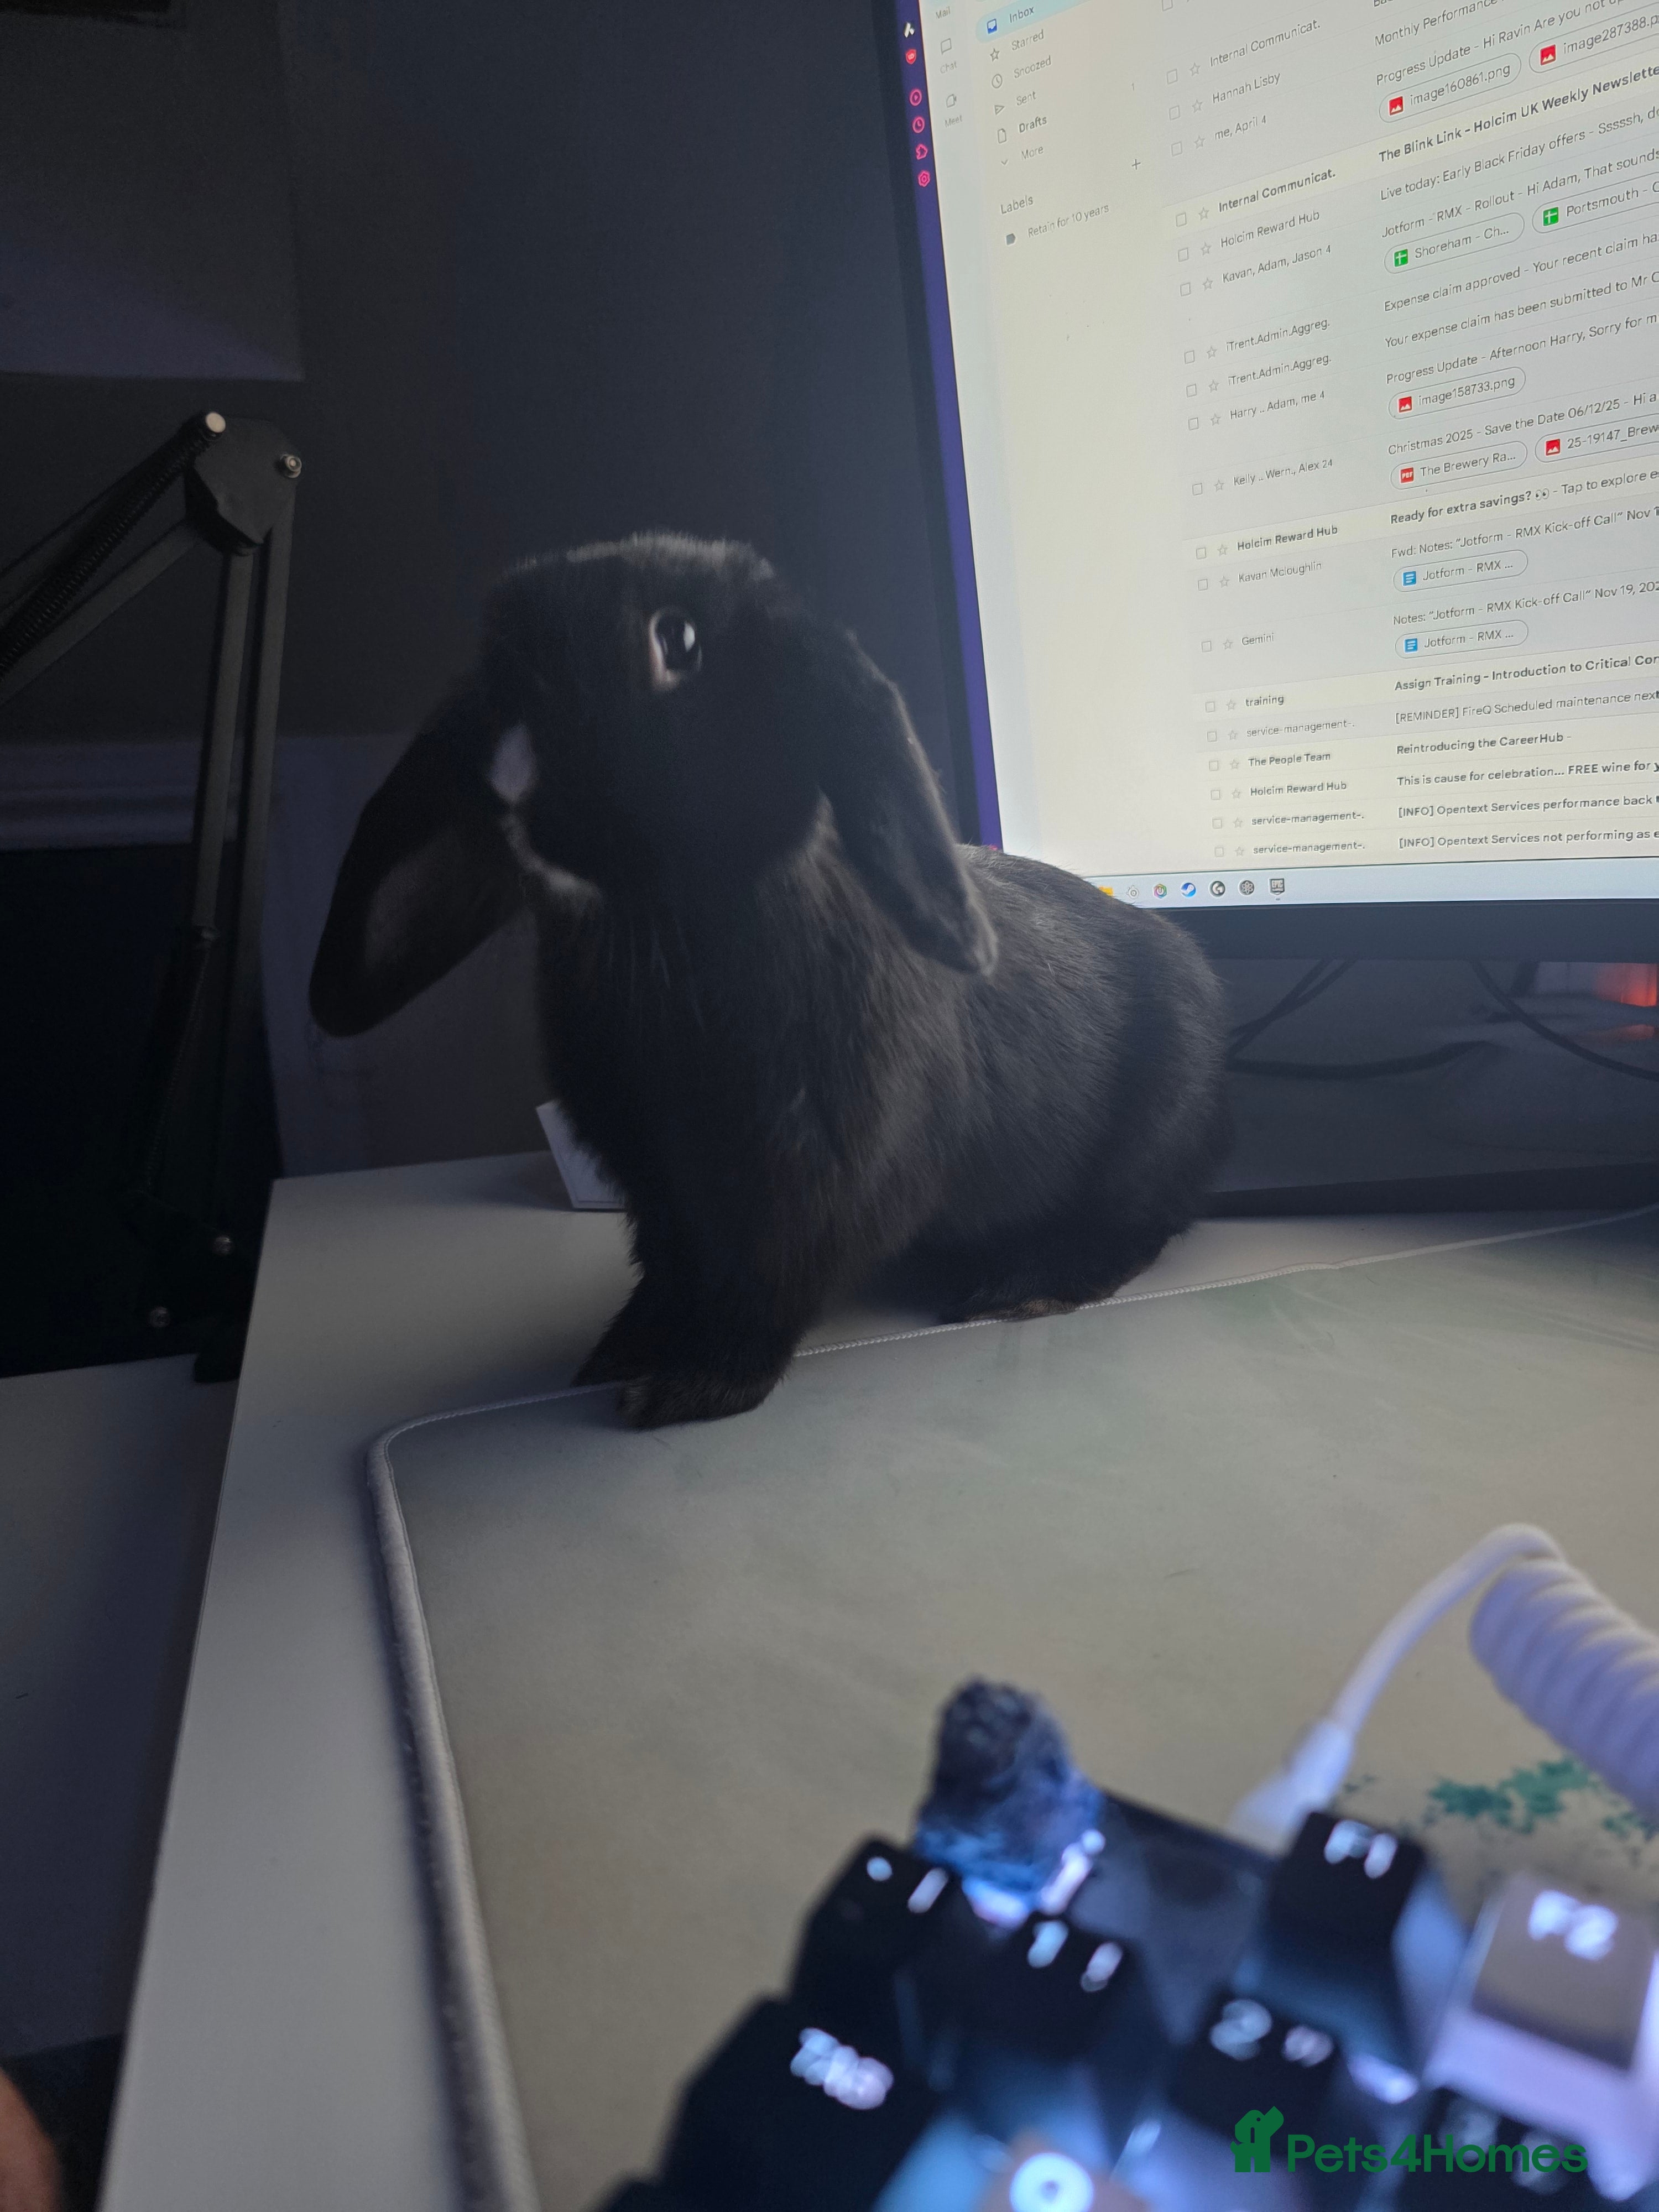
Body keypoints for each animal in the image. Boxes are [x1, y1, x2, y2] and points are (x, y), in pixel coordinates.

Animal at [310, 533, 1231, 1428]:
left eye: (680, 642)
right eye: (492, 667)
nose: (511, 789)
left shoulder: (808, 1184)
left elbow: (765, 1285)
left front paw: (691, 1389)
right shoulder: (661, 1190)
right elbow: (670, 1275)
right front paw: (618, 1355)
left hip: (1156, 1126)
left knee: (1137, 1227)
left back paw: (1020, 1287)